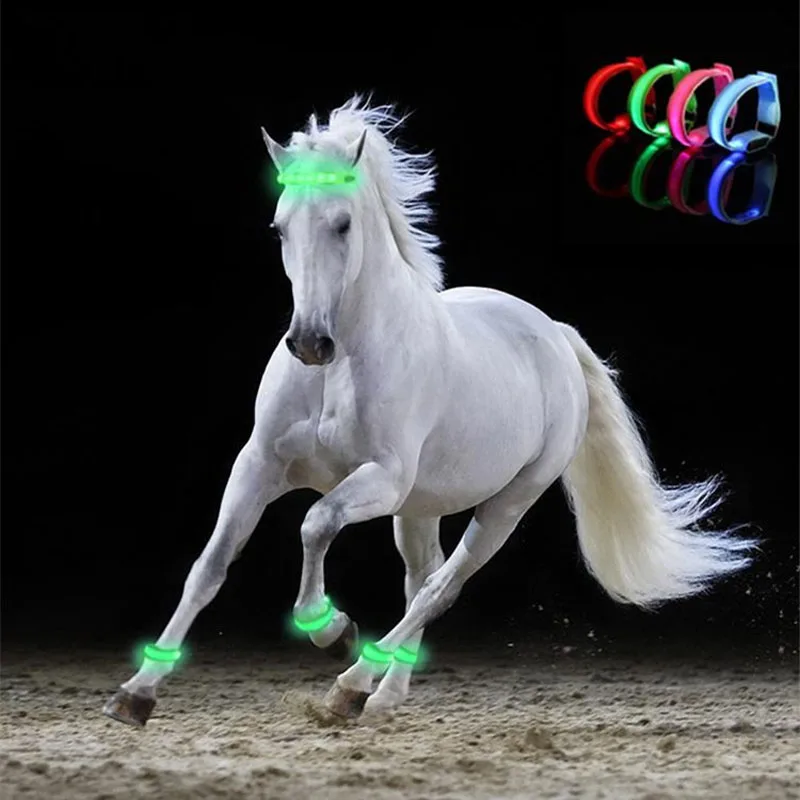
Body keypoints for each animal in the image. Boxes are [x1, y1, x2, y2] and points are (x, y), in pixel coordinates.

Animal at [103, 96, 756, 727]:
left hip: (506, 504)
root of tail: (554, 333)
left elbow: (314, 523)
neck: (341, 368)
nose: (310, 343)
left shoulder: (382, 479)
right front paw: (136, 693)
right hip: (419, 508)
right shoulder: (260, 465)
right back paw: (383, 696)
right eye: (279, 227)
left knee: (441, 587)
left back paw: (350, 685)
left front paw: (331, 630)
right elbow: (210, 566)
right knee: (422, 579)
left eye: (342, 223)